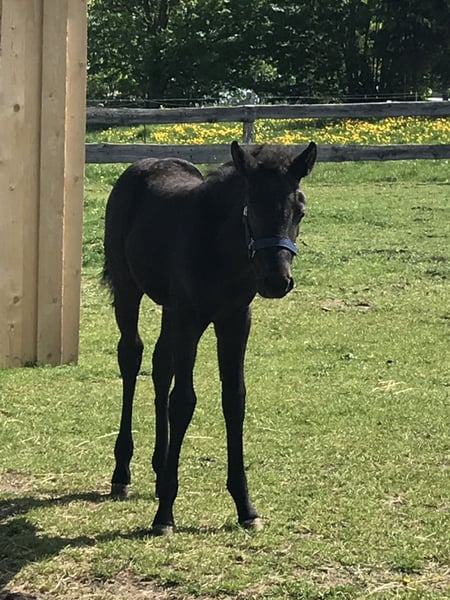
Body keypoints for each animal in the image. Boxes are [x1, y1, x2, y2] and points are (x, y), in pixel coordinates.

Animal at [102, 140, 317, 535]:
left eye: (300, 210)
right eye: (251, 206)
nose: (276, 282)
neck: (221, 251)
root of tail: (142, 164)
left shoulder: (234, 319)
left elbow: (234, 399)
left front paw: (245, 506)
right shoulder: (191, 318)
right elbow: (183, 401)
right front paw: (165, 514)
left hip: (170, 309)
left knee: (161, 365)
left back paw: (159, 469)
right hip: (129, 291)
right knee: (132, 356)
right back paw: (122, 474)